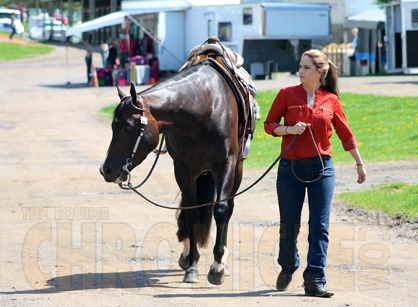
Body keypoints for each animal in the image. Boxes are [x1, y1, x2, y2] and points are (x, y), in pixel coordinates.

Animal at [101, 62, 243, 286]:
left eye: (127, 126)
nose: (106, 169)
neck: (204, 109)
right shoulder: (183, 170)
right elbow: (192, 213)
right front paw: (192, 265)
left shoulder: (226, 164)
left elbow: (221, 210)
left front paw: (218, 266)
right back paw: (186, 255)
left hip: (235, 171)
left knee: (228, 209)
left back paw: (223, 263)